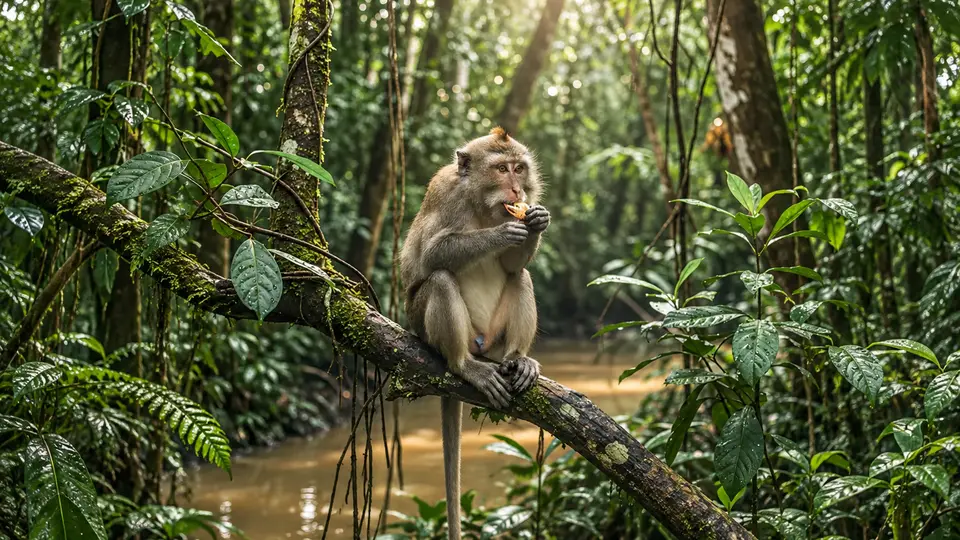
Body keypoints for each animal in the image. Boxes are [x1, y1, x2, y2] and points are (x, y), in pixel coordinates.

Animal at [399, 127, 550, 539]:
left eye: (519, 168)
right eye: (501, 169)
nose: (517, 190)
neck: (483, 205)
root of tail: (480, 347)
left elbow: (513, 265)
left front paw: (535, 220)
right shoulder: (445, 193)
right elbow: (432, 255)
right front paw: (503, 231)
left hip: (494, 338)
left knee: (522, 277)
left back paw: (518, 360)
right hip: (430, 329)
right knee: (439, 279)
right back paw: (463, 365)